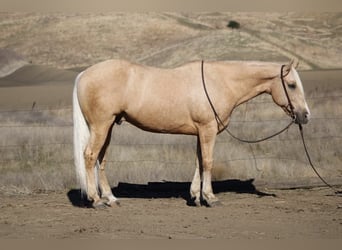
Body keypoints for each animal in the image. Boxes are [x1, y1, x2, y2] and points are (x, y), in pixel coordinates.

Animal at [73, 58, 312, 207]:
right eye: (292, 84)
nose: (305, 115)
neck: (220, 82)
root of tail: (84, 73)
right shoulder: (208, 129)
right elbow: (208, 162)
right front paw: (210, 197)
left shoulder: (201, 131)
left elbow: (199, 161)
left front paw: (196, 196)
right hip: (101, 126)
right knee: (90, 156)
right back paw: (96, 201)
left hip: (108, 127)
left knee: (101, 159)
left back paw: (110, 198)